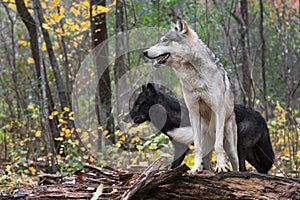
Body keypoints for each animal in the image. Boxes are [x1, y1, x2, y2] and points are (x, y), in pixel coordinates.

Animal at [125, 83, 276, 173]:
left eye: (138, 104)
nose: (127, 117)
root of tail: (260, 117)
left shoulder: (190, 145)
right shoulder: (181, 145)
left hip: (240, 147)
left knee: (243, 168)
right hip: (249, 152)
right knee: (261, 168)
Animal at [143, 17, 239, 173]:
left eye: (164, 41)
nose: (144, 52)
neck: (195, 77)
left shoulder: (218, 110)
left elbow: (218, 145)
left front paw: (221, 166)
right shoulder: (194, 112)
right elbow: (197, 148)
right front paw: (195, 168)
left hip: (231, 148)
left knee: (236, 163)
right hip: (206, 144)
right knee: (207, 160)